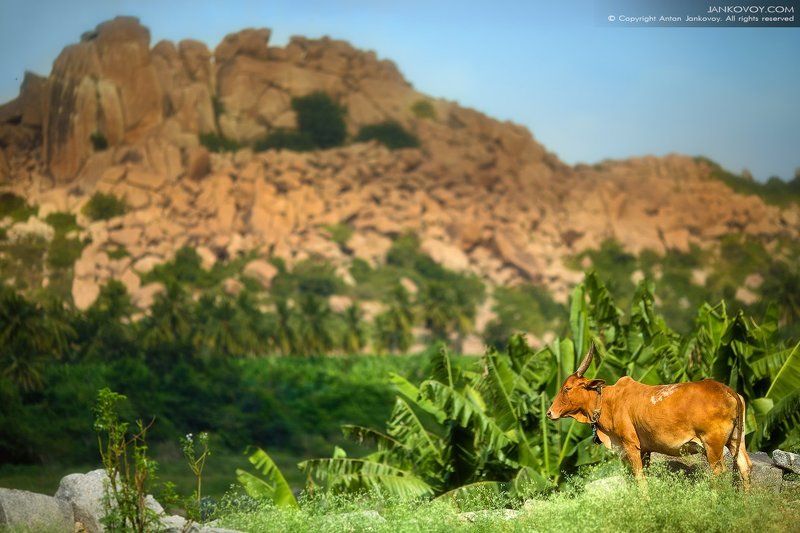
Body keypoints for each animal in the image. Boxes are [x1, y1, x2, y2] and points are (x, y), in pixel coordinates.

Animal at [546, 344, 751, 488]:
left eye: (567, 388)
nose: (549, 413)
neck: (607, 401)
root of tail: (728, 391)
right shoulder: (645, 450)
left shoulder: (631, 446)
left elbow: (639, 479)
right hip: (736, 441)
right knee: (744, 467)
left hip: (712, 446)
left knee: (719, 472)